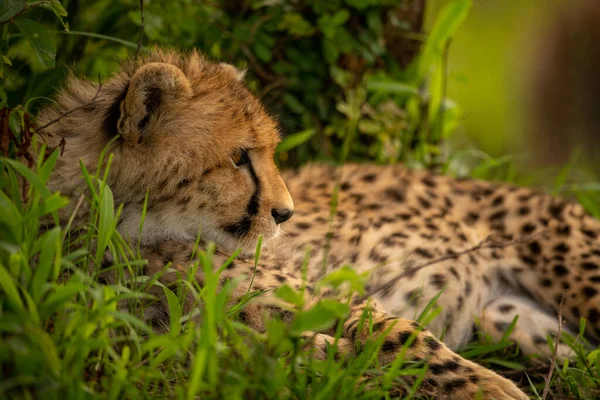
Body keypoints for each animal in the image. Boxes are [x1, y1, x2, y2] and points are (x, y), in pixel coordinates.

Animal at [36, 48, 600, 398]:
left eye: (267, 152)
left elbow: (400, 335)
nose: (286, 213)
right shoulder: (212, 337)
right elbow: (315, 355)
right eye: (239, 157)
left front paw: (491, 388)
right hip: (510, 320)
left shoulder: (328, 296)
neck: (141, 236)